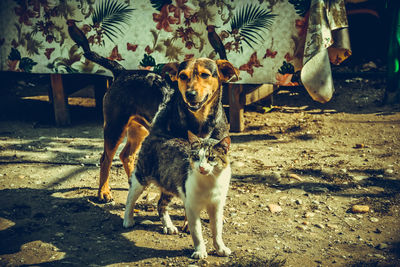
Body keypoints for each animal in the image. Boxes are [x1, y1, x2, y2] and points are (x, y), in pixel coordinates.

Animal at [82, 50, 236, 203]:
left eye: (205, 75)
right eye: (182, 76)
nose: (190, 94)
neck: (201, 118)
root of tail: (122, 72)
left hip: (139, 131)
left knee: (126, 155)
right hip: (115, 127)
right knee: (105, 160)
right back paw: (103, 192)